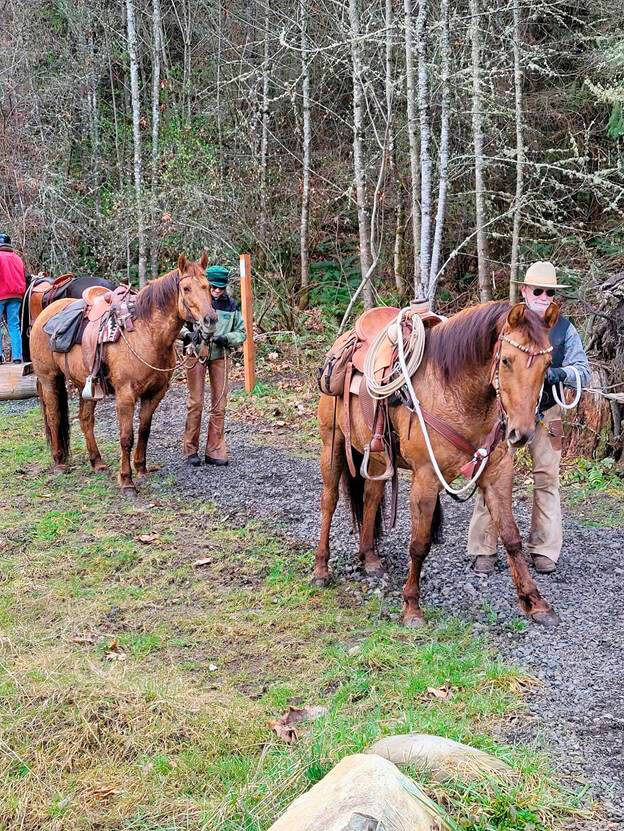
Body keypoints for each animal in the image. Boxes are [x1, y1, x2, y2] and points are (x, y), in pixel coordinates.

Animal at [29, 253, 216, 492]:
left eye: (207, 286)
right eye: (186, 288)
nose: (210, 320)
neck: (147, 333)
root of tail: (45, 314)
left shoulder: (154, 394)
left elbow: (144, 431)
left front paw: (142, 469)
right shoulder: (125, 396)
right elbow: (127, 437)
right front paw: (127, 480)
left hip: (85, 385)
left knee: (85, 420)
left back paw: (97, 462)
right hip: (49, 379)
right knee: (54, 417)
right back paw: (59, 462)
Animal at [314, 300, 561, 628]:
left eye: (548, 365)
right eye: (507, 361)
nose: (521, 433)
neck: (455, 393)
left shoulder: (497, 474)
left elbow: (511, 537)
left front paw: (535, 602)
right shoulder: (426, 479)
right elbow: (419, 544)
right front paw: (411, 606)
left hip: (377, 457)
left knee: (370, 497)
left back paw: (370, 559)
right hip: (332, 443)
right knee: (329, 501)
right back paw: (320, 569)